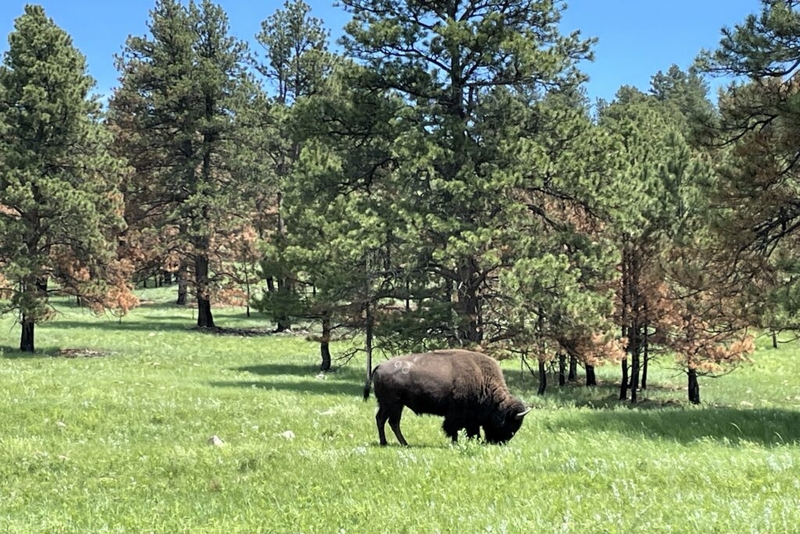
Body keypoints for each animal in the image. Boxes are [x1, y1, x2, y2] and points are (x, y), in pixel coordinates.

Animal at [363, 349, 531, 446]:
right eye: (510, 424)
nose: (499, 443)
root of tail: (380, 366)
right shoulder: (456, 415)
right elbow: (454, 428)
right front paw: (456, 442)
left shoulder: (471, 418)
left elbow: (471, 430)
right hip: (394, 404)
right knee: (391, 422)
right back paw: (400, 443)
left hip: (390, 404)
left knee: (383, 420)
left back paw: (389, 442)